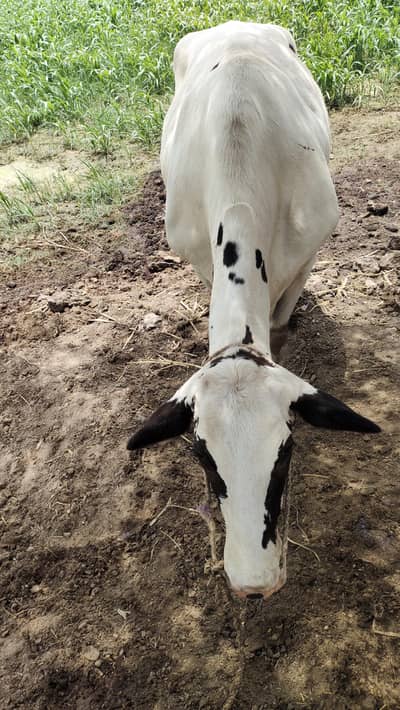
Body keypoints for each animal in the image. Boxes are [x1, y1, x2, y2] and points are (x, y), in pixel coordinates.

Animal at [127, 22, 380, 600]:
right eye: (202, 456)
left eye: (285, 453)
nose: (253, 584)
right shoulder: (199, 256)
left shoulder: (307, 253)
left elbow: (281, 328)